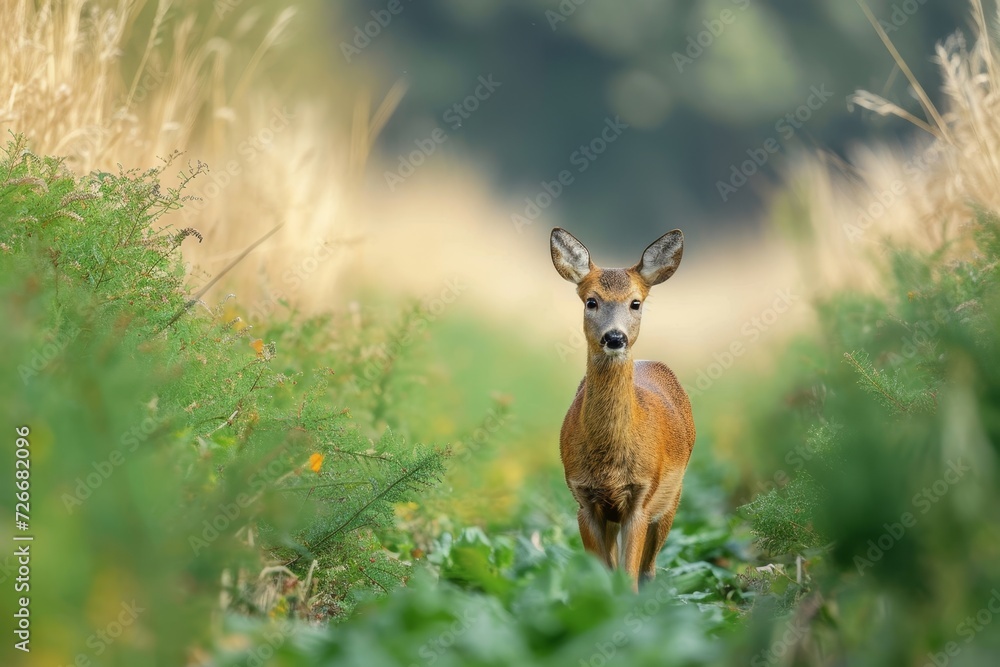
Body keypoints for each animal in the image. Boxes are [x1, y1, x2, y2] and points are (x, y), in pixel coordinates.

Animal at [550, 228, 695, 592]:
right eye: (591, 301)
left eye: (636, 302)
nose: (614, 337)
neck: (610, 466)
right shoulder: (583, 499)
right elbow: (603, 574)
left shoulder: (642, 497)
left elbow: (628, 576)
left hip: (673, 498)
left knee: (649, 569)